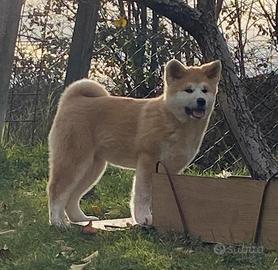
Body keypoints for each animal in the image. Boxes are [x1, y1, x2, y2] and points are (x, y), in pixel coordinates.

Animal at [47, 58, 222, 228]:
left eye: (205, 90)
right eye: (188, 90)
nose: (201, 101)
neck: (173, 121)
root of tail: (72, 100)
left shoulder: (172, 169)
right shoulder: (148, 160)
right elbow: (143, 195)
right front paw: (143, 218)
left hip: (92, 168)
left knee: (73, 196)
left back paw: (80, 218)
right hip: (74, 160)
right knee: (57, 190)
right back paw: (58, 222)